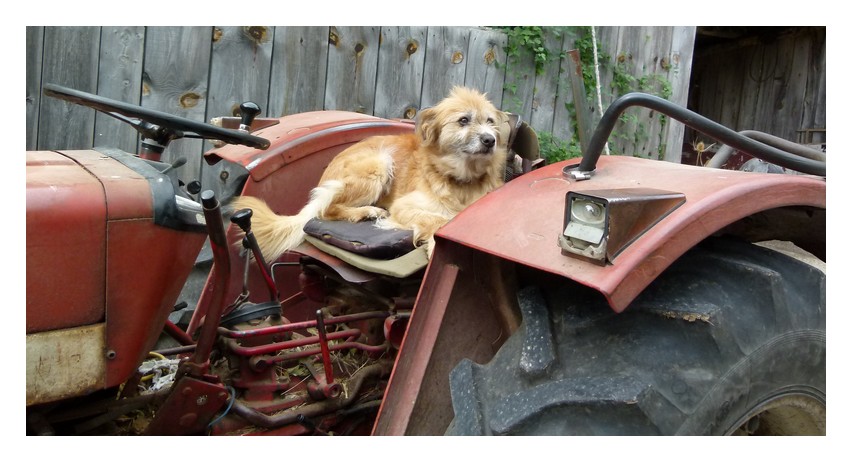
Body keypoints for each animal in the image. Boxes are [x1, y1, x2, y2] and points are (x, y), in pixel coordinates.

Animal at [233, 86, 510, 262]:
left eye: (490, 122)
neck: (461, 178)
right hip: (380, 162)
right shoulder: (404, 206)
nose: (490, 140)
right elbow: (440, 219)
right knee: (326, 210)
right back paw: (367, 212)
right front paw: (433, 244)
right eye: (463, 120)